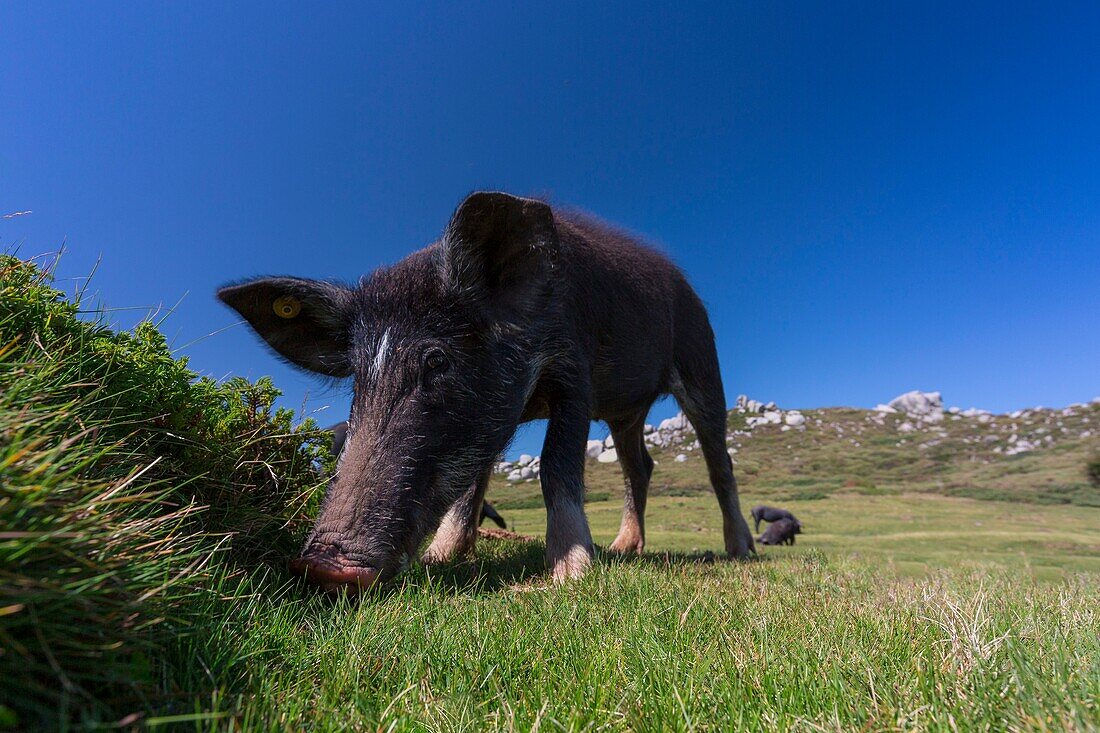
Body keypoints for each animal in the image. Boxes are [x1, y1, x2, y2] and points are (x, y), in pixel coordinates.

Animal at [220, 191, 761, 589]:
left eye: (438, 361)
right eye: (357, 375)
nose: (322, 567)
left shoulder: (575, 372)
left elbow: (555, 464)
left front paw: (569, 575)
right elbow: (471, 484)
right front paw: (440, 560)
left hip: (701, 362)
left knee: (719, 461)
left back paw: (740, 552)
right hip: (627, 413)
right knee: (640, 466)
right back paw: (625, 549)